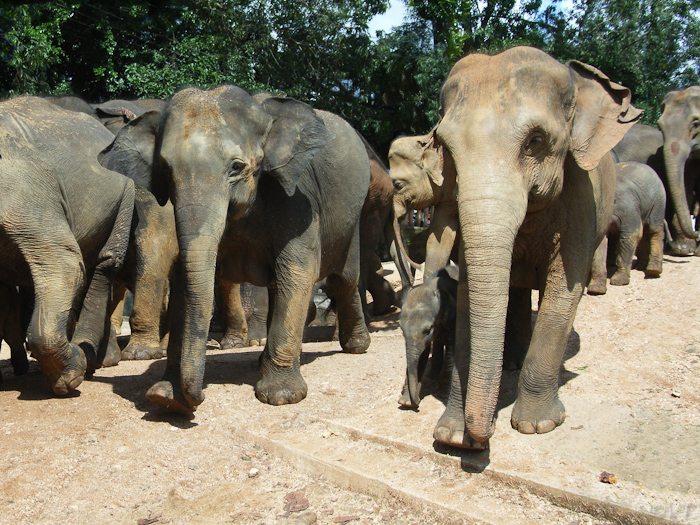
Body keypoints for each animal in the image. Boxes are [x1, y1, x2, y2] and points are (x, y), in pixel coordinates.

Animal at [0, 97, 135, 392]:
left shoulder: (24, 191)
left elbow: (65, 263)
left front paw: (69, 378)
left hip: (125, 196)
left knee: (104, 263)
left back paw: (90, 358)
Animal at [138, 87, 372, 414]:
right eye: (165, 171)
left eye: (236, 167)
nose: (197, 400)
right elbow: (186, 276)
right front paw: (163, 395)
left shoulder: (297, 198)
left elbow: (299, 271)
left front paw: (281, 396)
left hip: (351, 221)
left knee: (345, 279)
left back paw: (356, 347)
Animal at [400, 264, 460, 408]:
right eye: (402, 330)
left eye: (427, 330)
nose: (417, 403)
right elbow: (422, 353)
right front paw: (406, 402)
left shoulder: (453, 318)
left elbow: (451, 351)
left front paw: (444, 394)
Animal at [434, 47, 644, 446]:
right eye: (445, 147)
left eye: (535, 141)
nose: (484, 436)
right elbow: (470, 292)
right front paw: (451, 434)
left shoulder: (581, 199)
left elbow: (563, 291)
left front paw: (538, 425)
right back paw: (510, 362)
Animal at [588, 161, 664, 294]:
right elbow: (601, 243)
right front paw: (596, 289)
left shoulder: (627, 207)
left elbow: (632, 234)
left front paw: (619, 281)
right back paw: (640, 266)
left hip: (658, 200)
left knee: (654, 229)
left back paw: (653, 270)